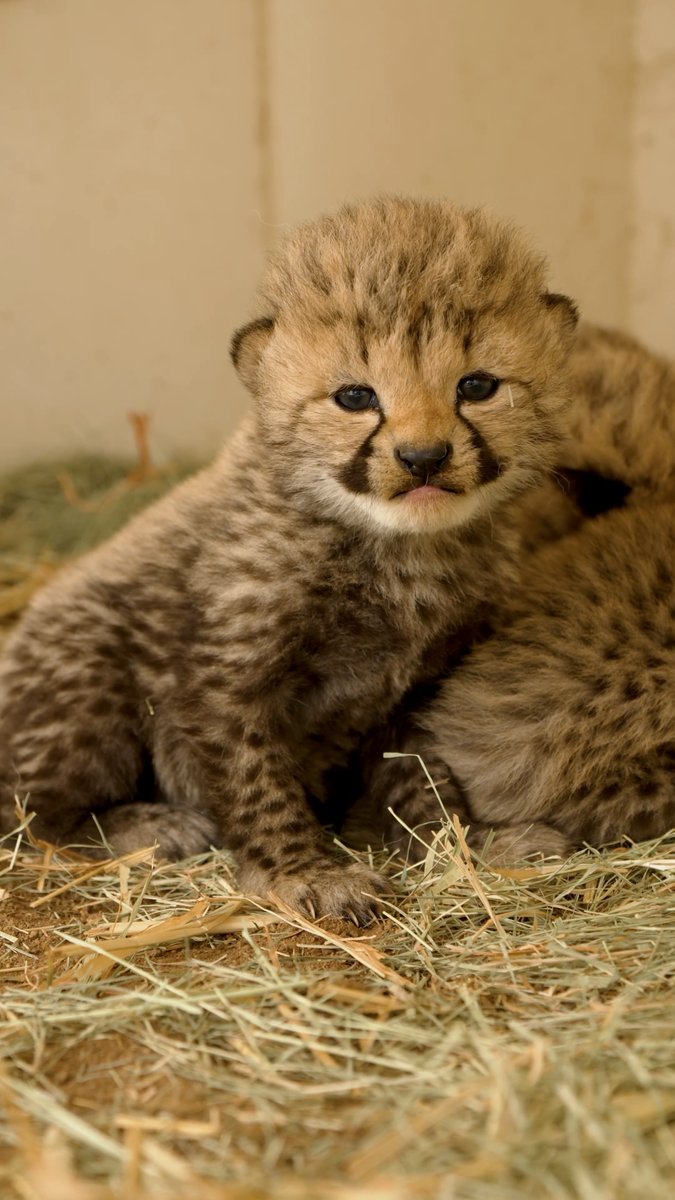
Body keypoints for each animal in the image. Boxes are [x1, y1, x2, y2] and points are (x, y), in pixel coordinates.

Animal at [0, 197, 578, 922]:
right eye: (356, 397)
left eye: (477, 386)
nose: (422, 458)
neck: (396, 547)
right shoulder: (221, 682)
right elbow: (255, 780)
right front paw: (304, 872)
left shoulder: (418, 687)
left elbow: (422, 770)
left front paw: (467, 841)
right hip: (86, 673)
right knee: (33, 816)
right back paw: (147, 825)